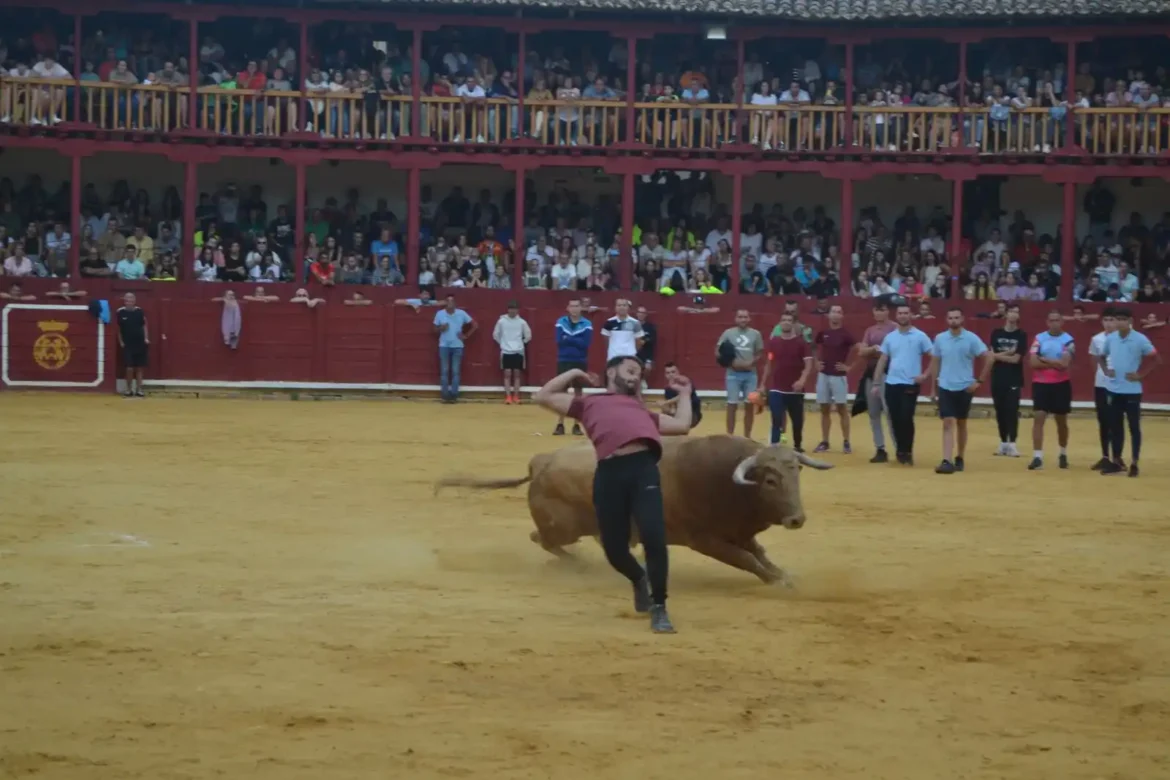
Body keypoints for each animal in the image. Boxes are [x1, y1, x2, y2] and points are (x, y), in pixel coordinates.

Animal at [437, 437, 833, 582]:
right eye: (770, 480)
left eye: (796, 472)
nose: (796, 519)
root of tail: (541, 462)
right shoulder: (705, 540)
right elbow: (747, 560)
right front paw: (776, 581)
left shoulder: (737, 532)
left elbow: (760, 554)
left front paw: (783, 575)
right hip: (564, 526)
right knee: (542, 538)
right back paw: (580, 565)